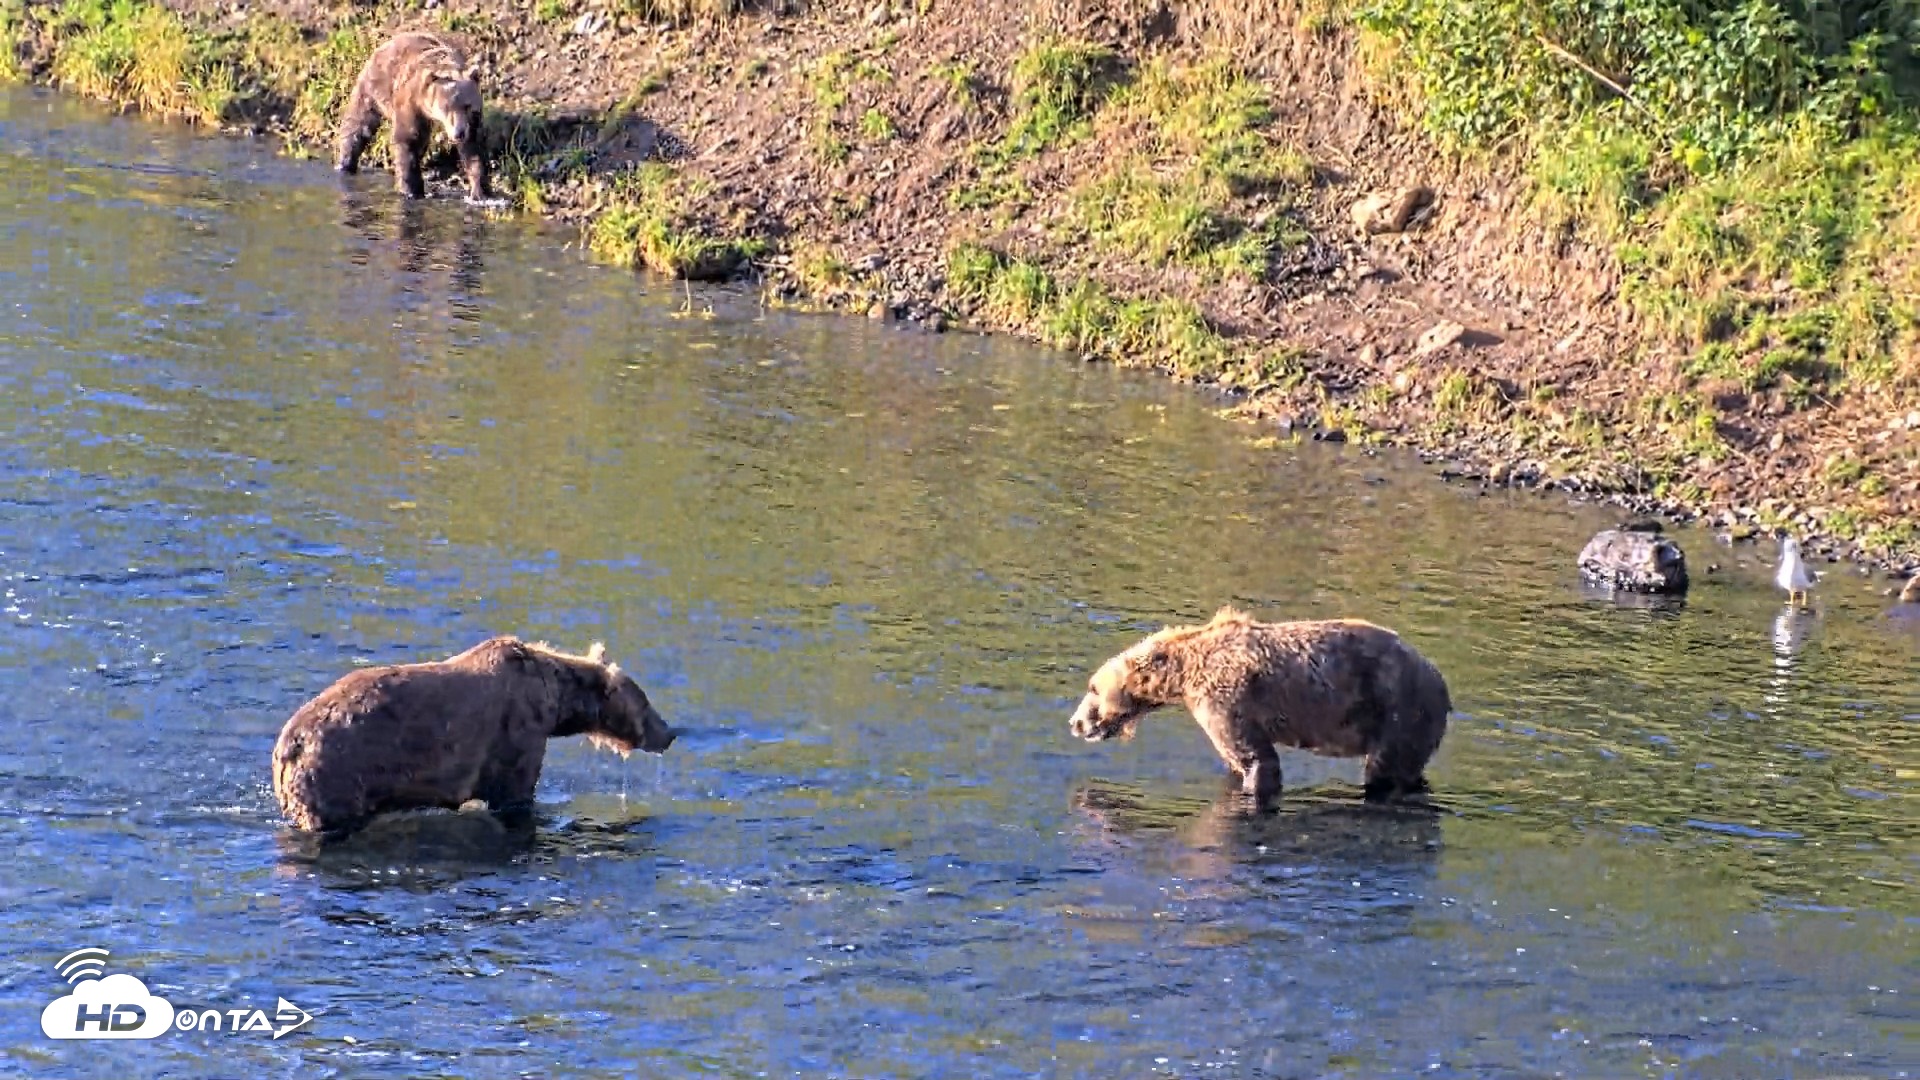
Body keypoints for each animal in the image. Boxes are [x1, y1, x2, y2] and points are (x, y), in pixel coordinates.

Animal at [271, 636, 675, 838]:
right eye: (646, 702)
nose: (669, 733)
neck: (556, 700)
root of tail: (287, 746)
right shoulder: (517, 731)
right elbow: (515, 793)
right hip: (338, 771)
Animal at [334, 30, 494, 202]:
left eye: (467, 106)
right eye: (446, 107)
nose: (459, 133)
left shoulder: (471, 121)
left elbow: (473, 148)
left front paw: (480, 190)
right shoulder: (412, 103)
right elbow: (408, 138)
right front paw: (411, 190)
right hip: (375, 84)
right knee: (358, 123)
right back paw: (345, 163)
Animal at [1067, 608, 1452, 806]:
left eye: (1092, 688)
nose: (1075, 723)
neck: (1184, 672)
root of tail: (1443, 683)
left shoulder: (1226, 698)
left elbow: (1256, 758)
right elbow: (1235, 760)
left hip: (1399, 711)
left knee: (1384, 767)